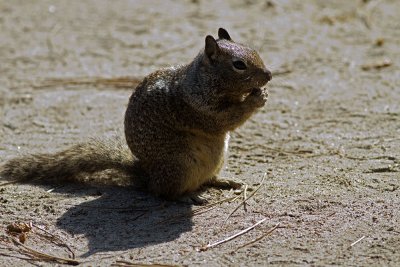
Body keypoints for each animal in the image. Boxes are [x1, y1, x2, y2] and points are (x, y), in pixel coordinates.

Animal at [0, 27, 272, 203]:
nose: (269, 75)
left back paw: (225, 182)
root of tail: (146, 174)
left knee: (204, 179)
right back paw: (186, 198)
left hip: (216, 158)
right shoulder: (199, 107)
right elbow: (226, 120)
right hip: (179, 165)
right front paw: (255, 99)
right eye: (239, 65)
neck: (202, 80)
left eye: (253, 50)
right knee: (162, 192)